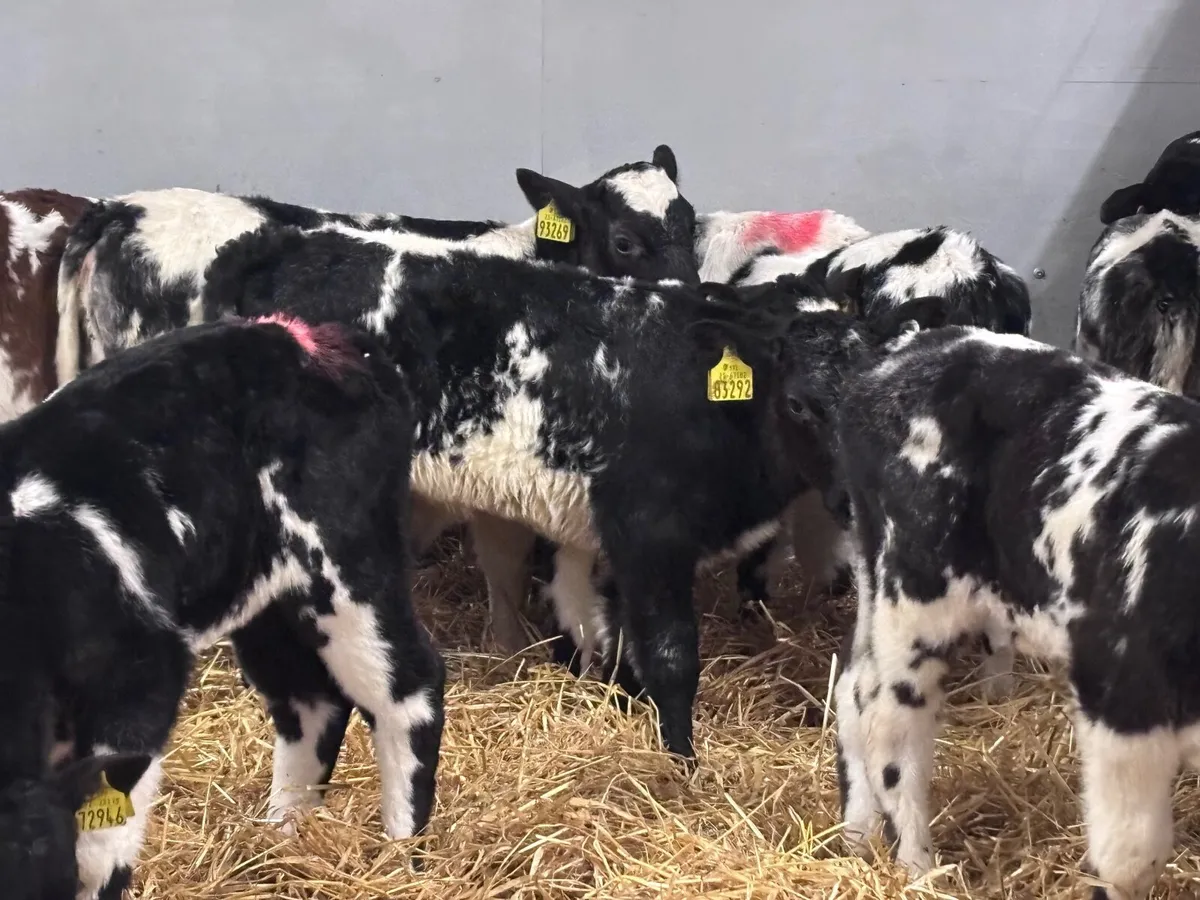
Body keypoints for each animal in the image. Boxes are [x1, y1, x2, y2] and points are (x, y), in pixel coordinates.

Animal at [0, 315, 443, 900]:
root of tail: (317, 338)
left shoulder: (142, 680)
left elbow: (100, 848)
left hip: (351, 564)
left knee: (406, 688)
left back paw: (401, 854)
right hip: (264, 599)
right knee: (310, 698)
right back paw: (282, 837)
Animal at [770, 316, 1200, 900]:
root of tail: (908, 347)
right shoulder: (1123, 695)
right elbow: (1131, 857)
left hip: (875, 570)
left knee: (854, 688)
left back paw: (858, 838)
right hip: (916, 592)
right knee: (890, 721)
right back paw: (917, 867)